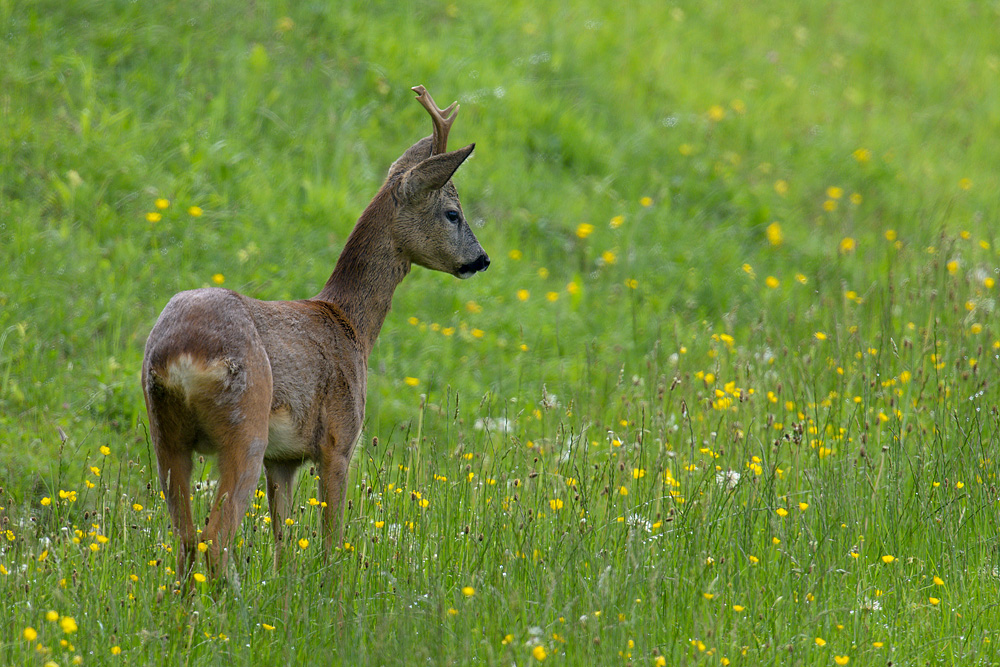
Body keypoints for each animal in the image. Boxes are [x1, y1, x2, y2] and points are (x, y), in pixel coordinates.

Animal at [140, 86, 488, 580]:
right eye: (452, 213)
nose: (481, 259)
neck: (352, 325)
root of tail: (182, 355)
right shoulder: (338, 441)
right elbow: (331, 541)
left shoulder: (283, 460)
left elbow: (283, 546)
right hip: (244, 427)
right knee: (214, 539)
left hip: (165, 432)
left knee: (186, 540)